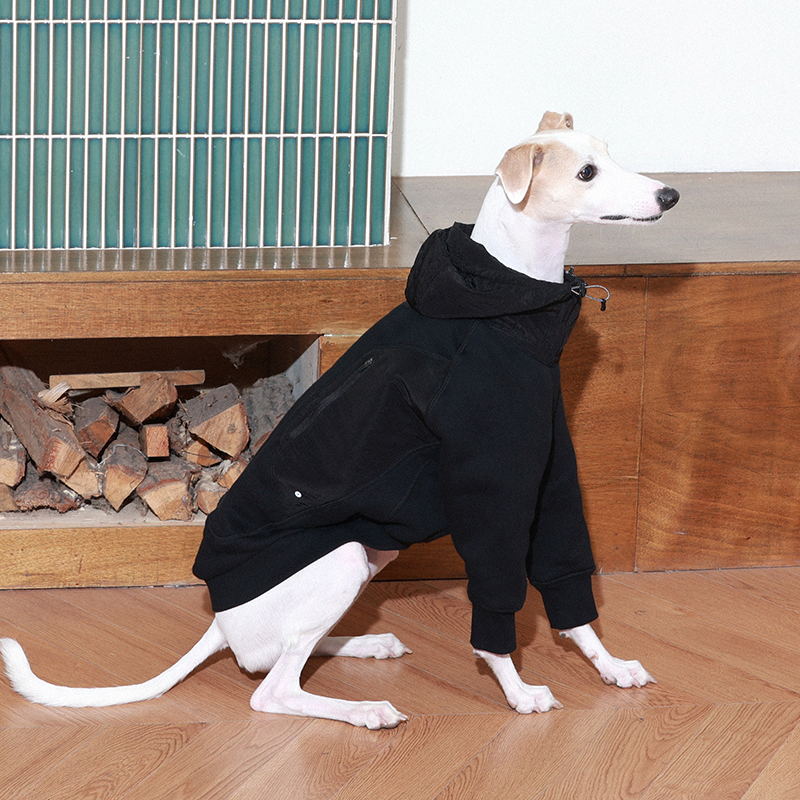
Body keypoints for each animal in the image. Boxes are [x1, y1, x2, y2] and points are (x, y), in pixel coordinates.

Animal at [1, 112, 679, 730]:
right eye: (586, 173)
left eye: (610, 153)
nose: (669, 196)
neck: (507, 302)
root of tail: (221, 623)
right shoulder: (491, 492)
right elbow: (498, 605)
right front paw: (517, 689)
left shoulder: (549, 471)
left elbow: (570, 588)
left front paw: (610, 666)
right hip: (345, 558)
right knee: (271, 689)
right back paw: (364, 710)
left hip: (369, 556)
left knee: (274, 660)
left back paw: (364, 644)